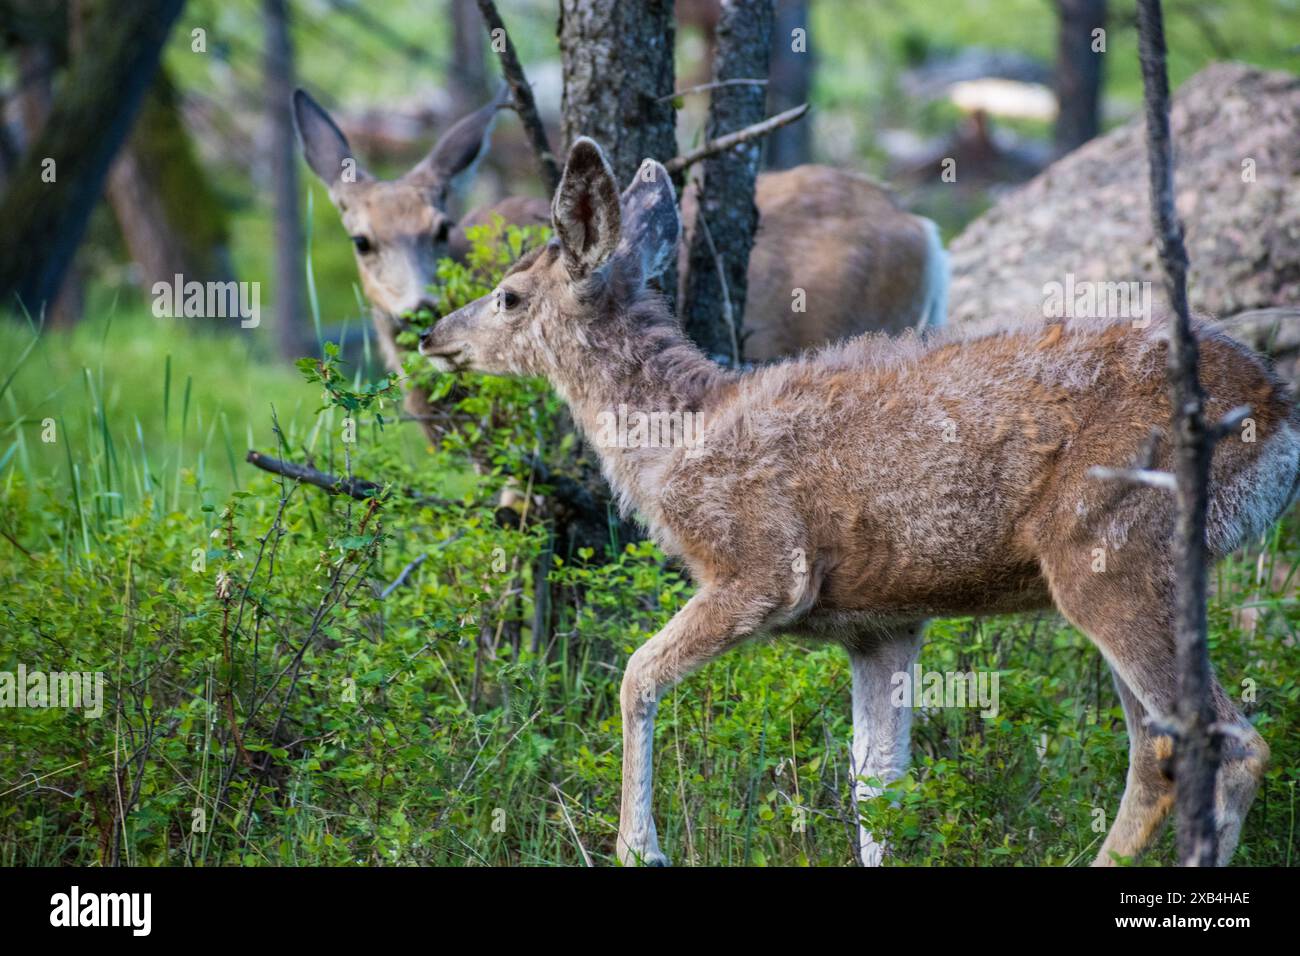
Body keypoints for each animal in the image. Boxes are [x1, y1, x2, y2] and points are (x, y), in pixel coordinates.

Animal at [423, 132, 1300, 868]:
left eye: (507, 295)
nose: (434, 336)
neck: (677, 437)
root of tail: (1276, 406)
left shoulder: (763, 568)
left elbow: (637, 674)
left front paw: (640, 849)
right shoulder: (882, 623)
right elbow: (877, 784)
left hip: (1113, 550)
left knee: (1227, 742)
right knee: (1158, 751)